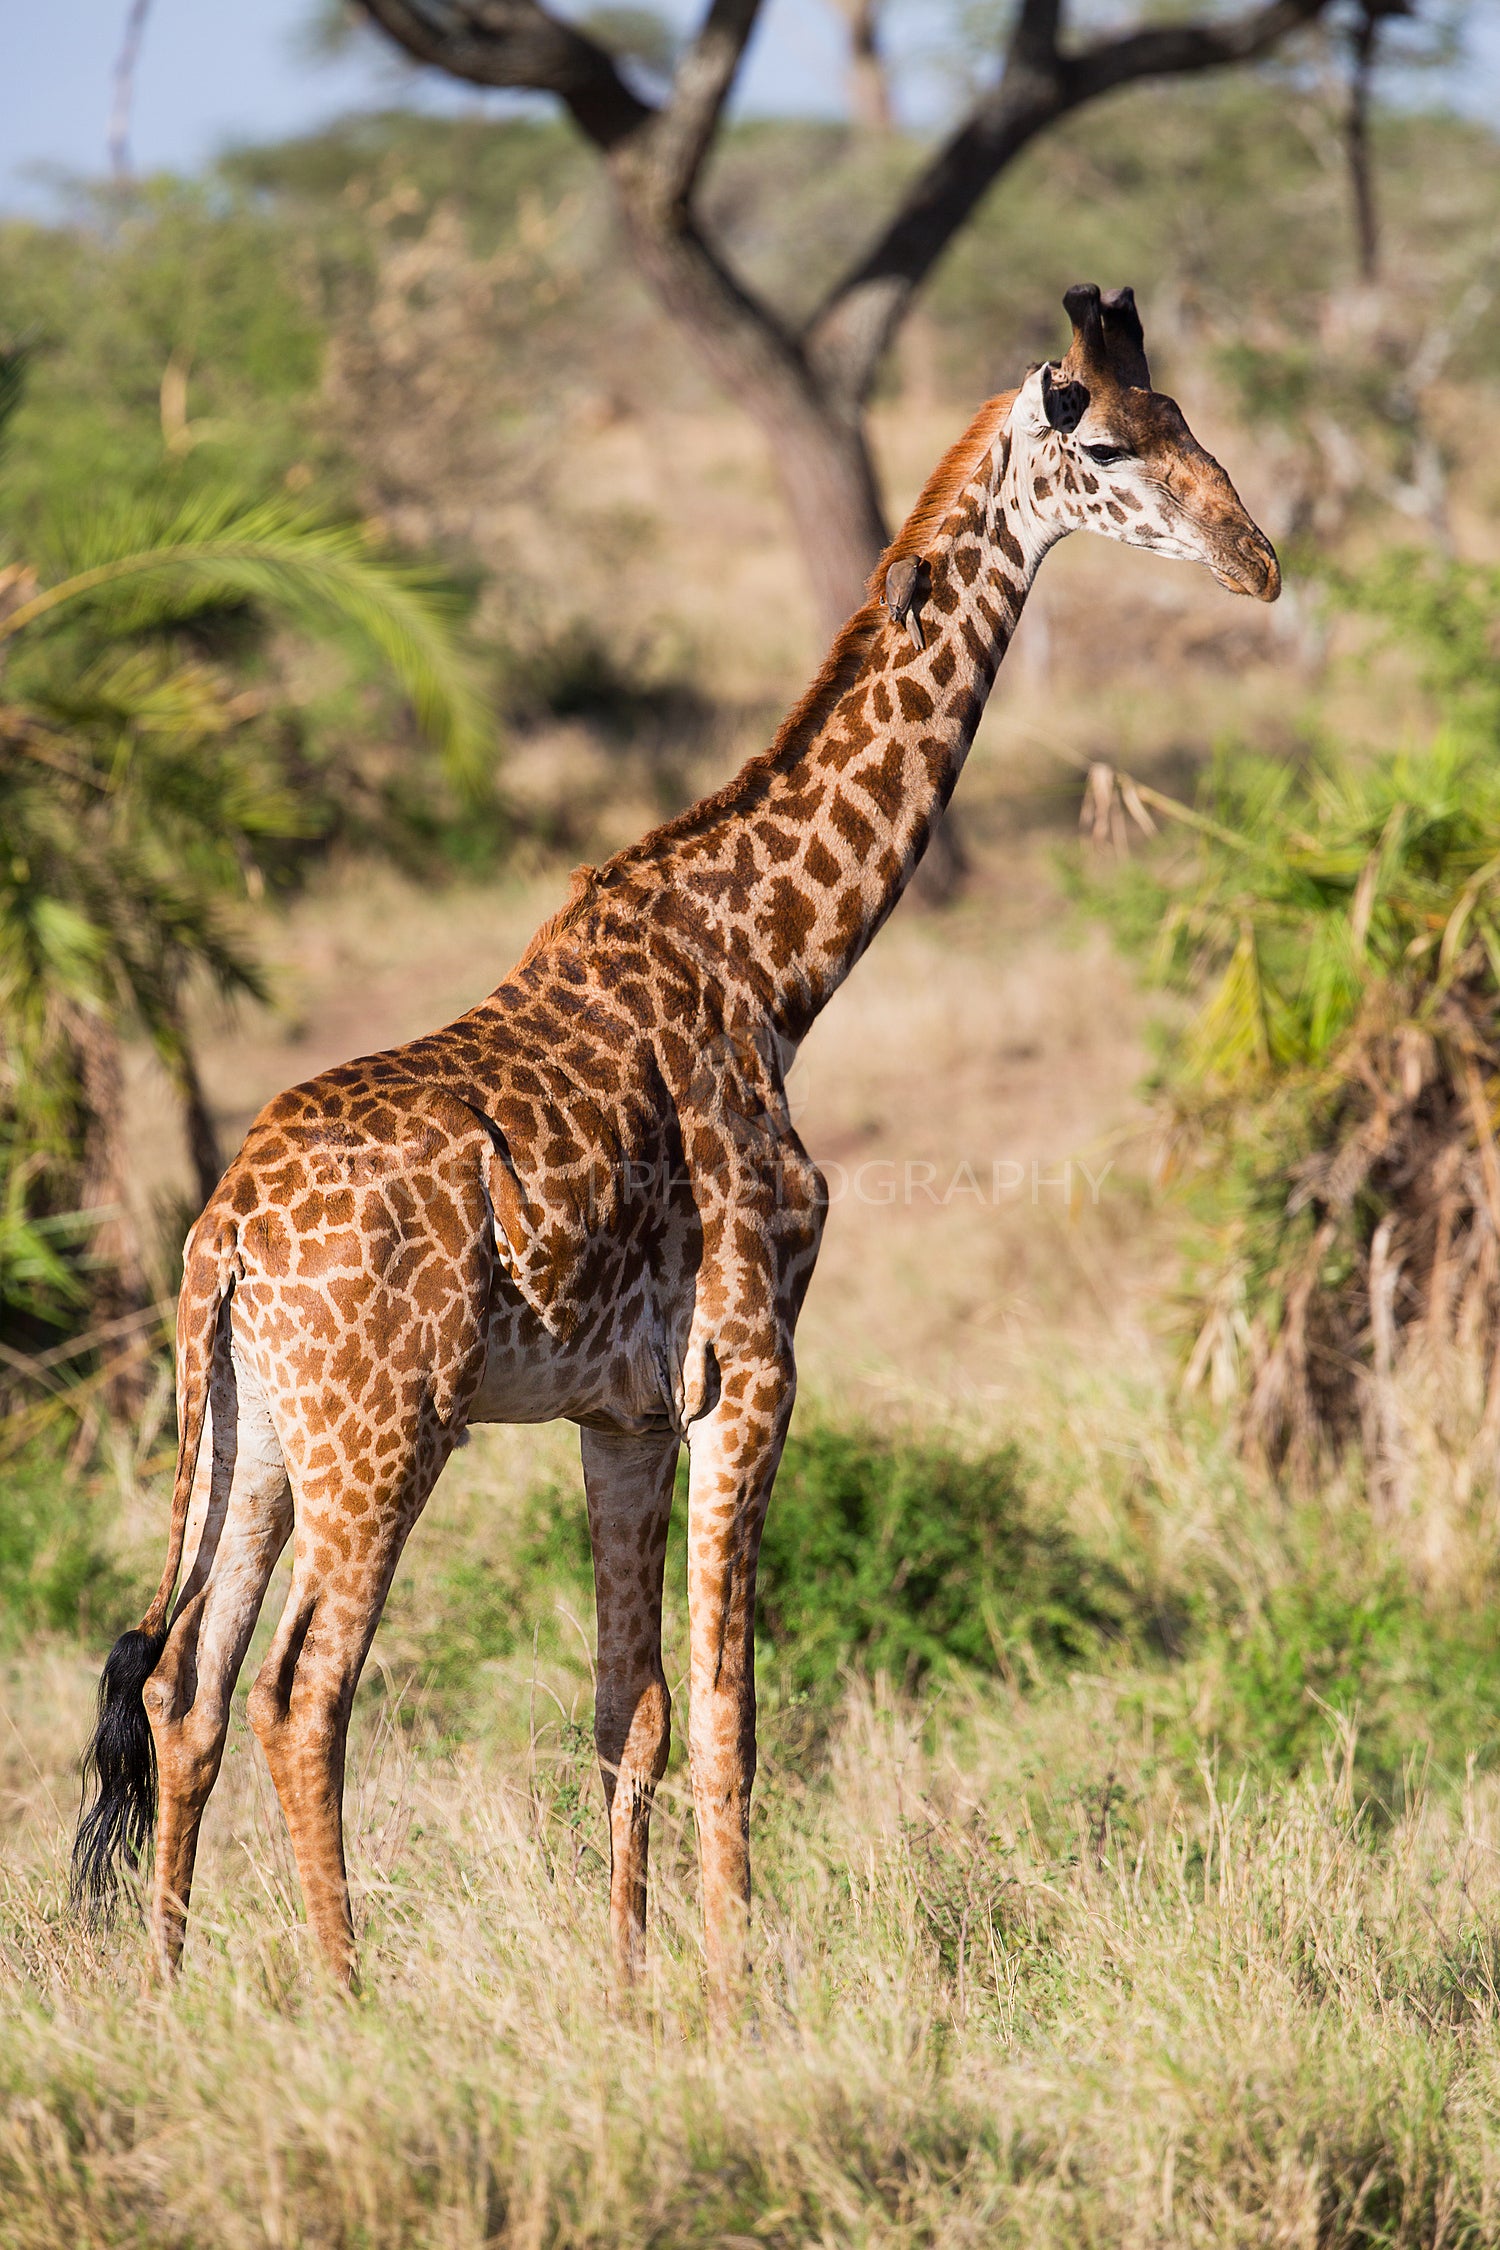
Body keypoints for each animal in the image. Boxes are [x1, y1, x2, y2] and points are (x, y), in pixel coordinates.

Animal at [76, 281, 1277, 1989]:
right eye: (1108, 444)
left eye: (1188, 418)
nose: (1260, 561)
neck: (779, 963)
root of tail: (222, 1234)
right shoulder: (754, 1365)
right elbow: (734, 1715)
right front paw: (734, 1993)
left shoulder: (626, 1410)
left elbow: (624, 1712)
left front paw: (637, 1991)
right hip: (387, 1428)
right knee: (304, 1692)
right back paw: (344, 2000)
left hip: (248, 1430)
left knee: (187, 1687)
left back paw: (178, 1994)